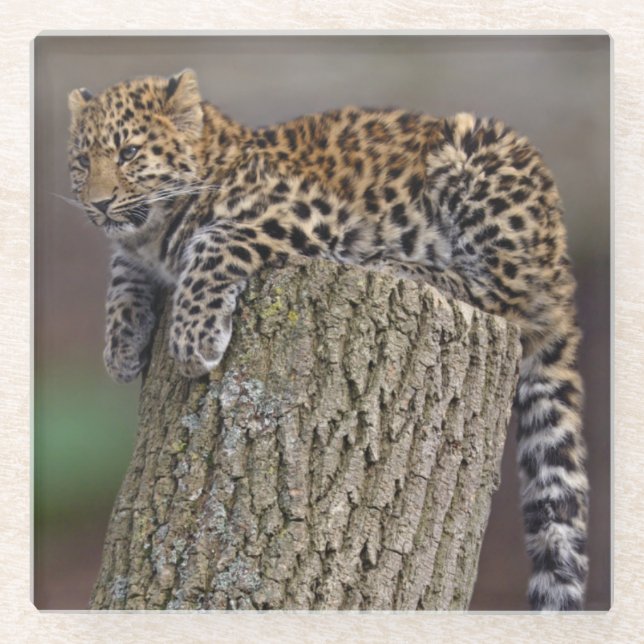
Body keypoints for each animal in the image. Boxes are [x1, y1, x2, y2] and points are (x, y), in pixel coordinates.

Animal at [67, 69, 589, 611]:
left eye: (129, 152)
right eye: (82, 162)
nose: (98, 203)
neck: (156, 230)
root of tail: (559, 260)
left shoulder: (305, 213)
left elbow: (213, 241)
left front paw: (193, 341)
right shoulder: (136, 251)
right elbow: (121, 272)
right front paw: (122, 349)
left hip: (478, 160)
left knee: (509, 297)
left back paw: (399, 265)